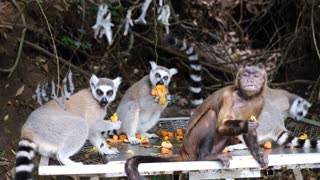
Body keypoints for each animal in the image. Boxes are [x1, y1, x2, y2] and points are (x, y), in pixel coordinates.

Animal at [124, 64, 268, 179]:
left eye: (255, 76)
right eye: (245, 75)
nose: (249, 80)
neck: (245, 98)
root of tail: (184, 151)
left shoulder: (260, 100)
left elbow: (249, 132)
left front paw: (258, 154)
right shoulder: (229, 96)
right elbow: (221, 126)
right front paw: (246, 124)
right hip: (192, 143)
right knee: (211, 115)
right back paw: (205, 156)